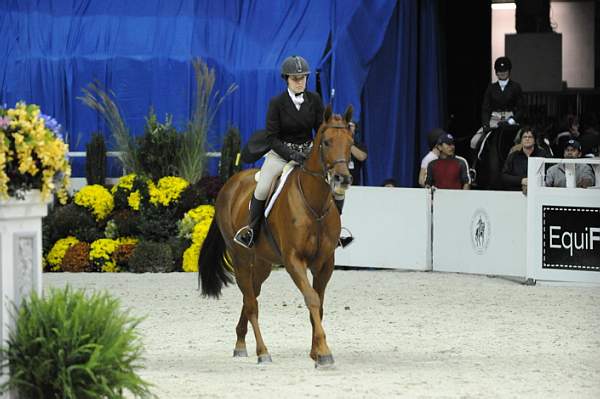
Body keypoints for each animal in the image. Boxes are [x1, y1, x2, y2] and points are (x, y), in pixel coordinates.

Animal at [199, 105, 354, 368]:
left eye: (351, 142)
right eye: (326, 142)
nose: (342, 179)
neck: (314, 204)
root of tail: (229, 184)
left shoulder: (325, 263)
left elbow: (319, 305)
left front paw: (315, 351)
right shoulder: (293, 260)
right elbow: (311, 298)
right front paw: (323, 352)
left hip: (263, 262)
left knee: (250, 295)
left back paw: (240, 343)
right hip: (240, 257)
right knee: (251, 303)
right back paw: (262, 352)